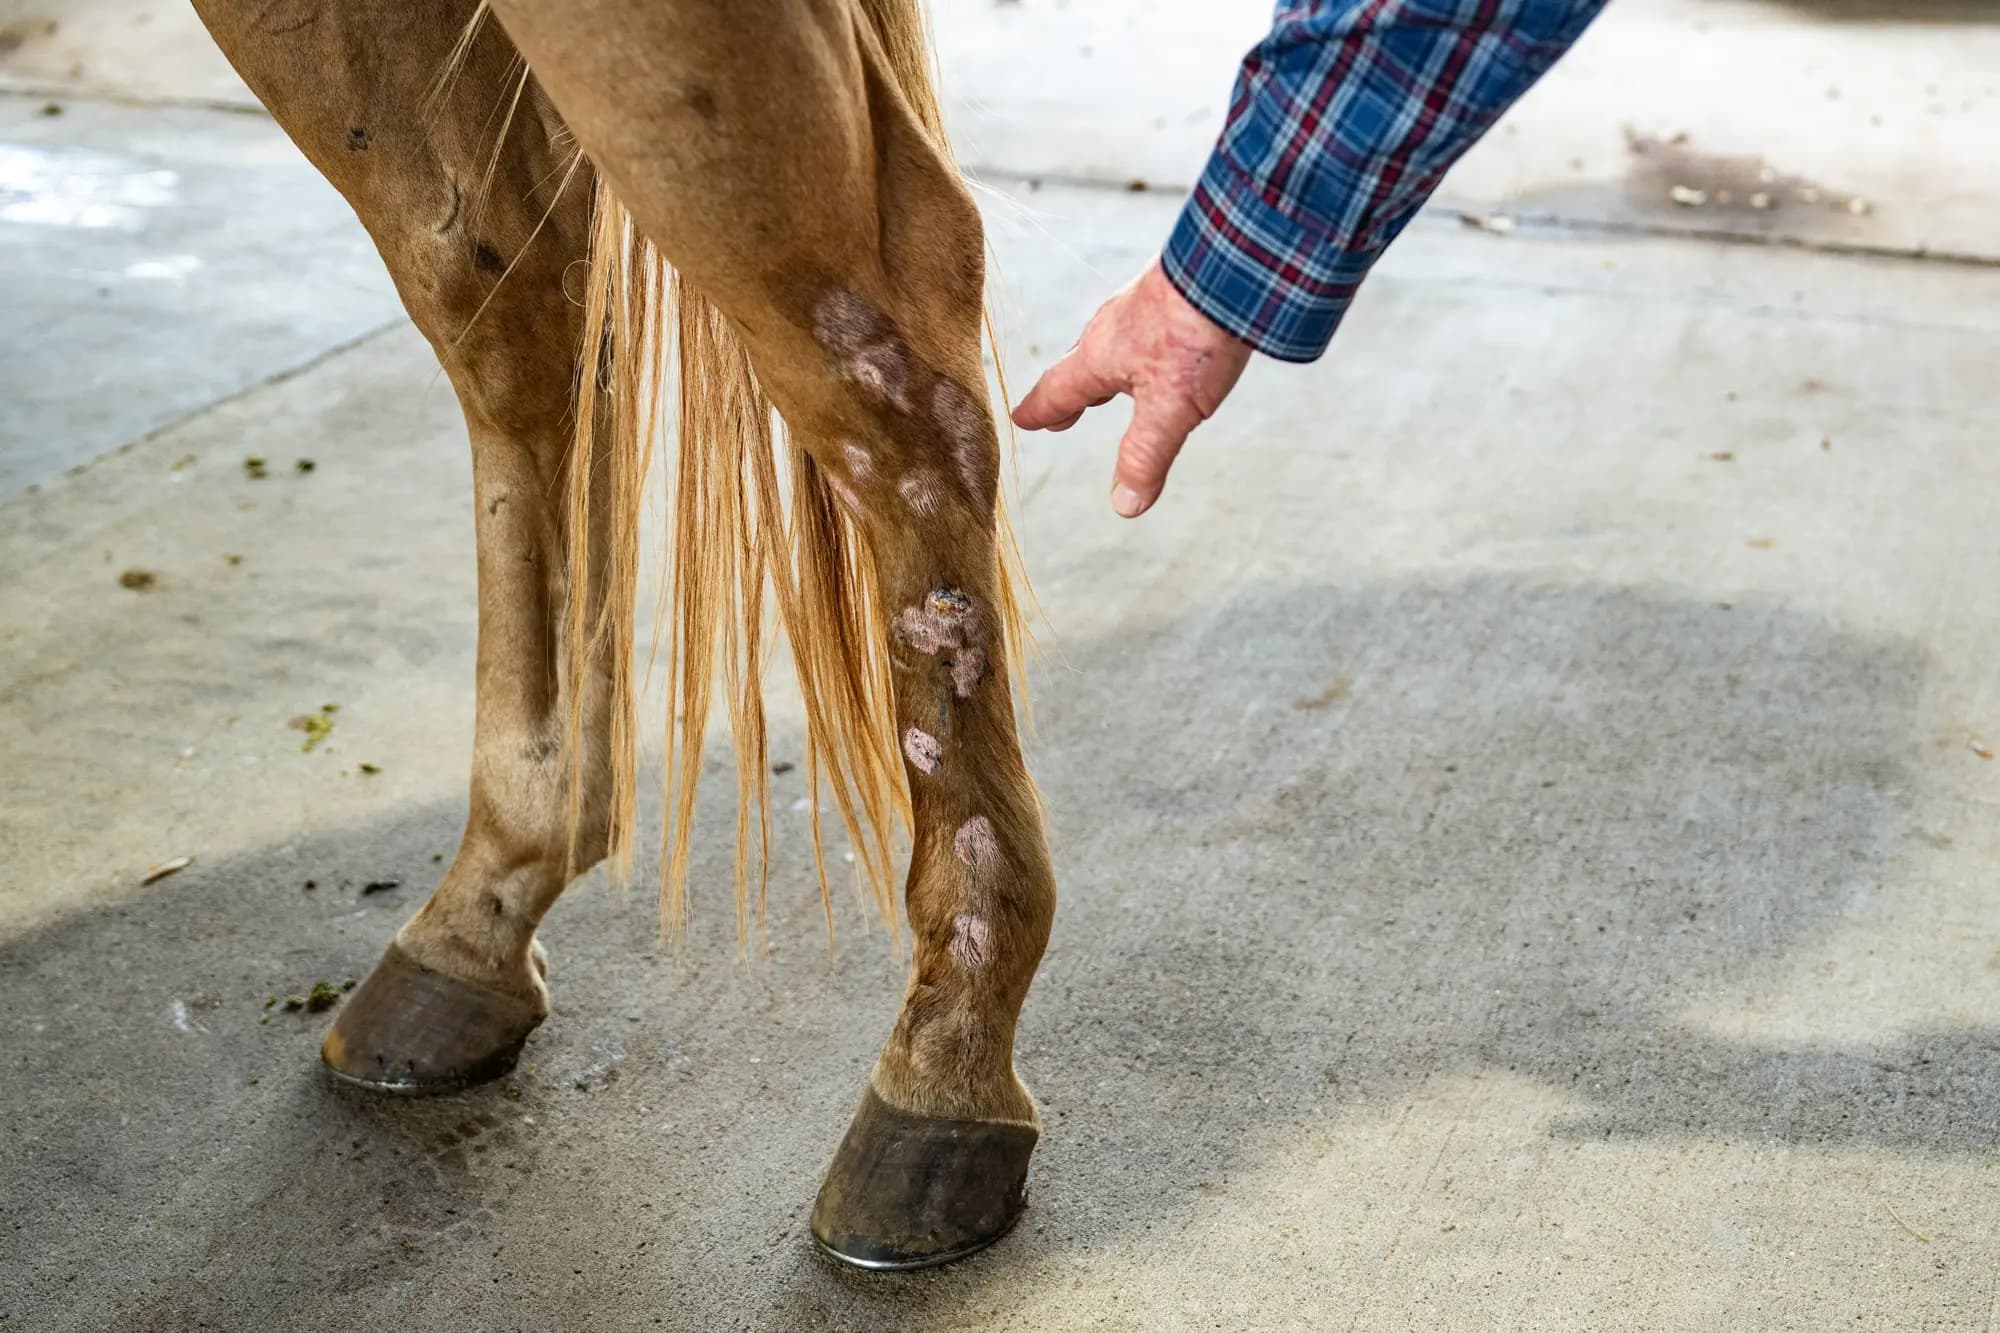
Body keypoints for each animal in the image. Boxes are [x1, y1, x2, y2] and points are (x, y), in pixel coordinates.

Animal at [191, 0, 1053, 1271]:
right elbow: (486, 291)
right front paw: (503, 885)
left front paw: (945, 1070)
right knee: (507, 302)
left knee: (875, 341)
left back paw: (940, 1064)